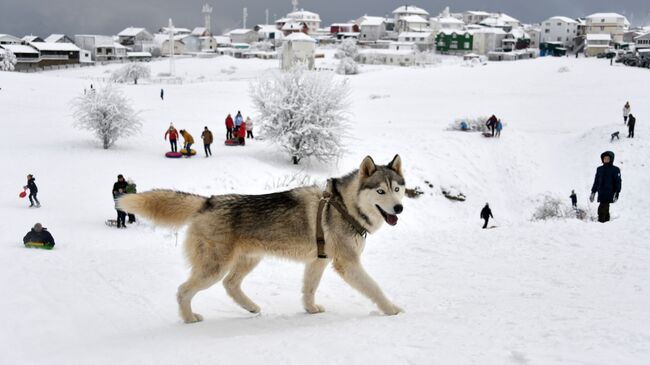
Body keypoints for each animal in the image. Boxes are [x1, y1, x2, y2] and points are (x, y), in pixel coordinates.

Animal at [118, 154, 402, 322]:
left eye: (398, 189)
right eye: (380, 191)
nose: (399, 208)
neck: (343, 205)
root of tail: (209, 201)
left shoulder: (317, 261)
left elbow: (308, 290)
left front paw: (310, 310)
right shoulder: (347, 263)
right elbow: (374, 287)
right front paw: (391, 309)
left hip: (248, 260)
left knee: (230, 285)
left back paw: (251, 308)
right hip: (214, 268)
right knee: (183, 290)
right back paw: (189, 318)